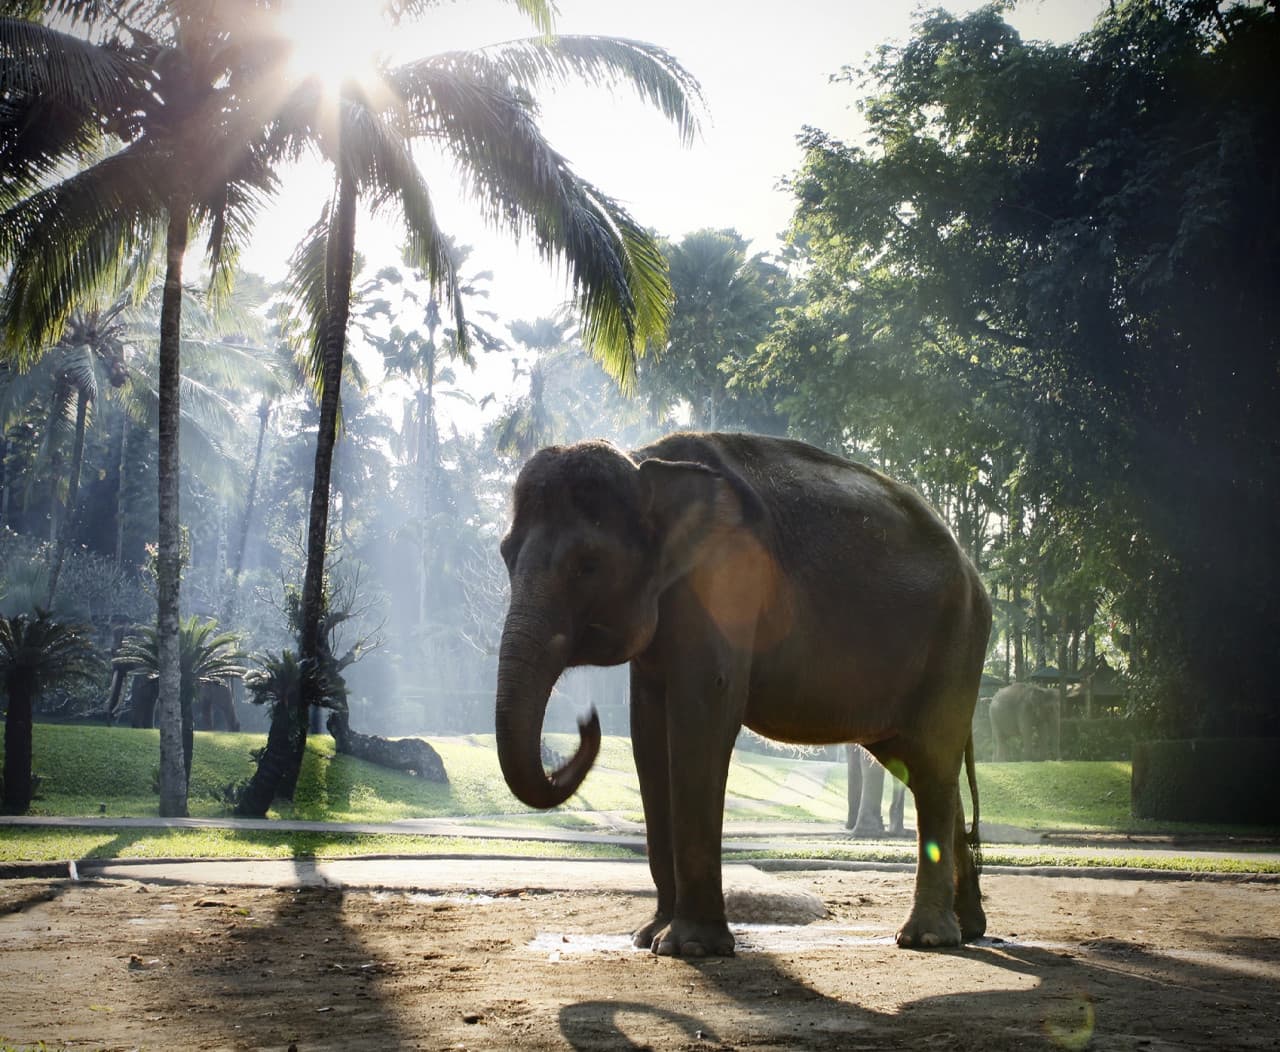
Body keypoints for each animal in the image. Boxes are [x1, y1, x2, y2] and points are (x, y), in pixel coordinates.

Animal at [494, 432, 991, 955]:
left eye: (587, 565)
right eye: (506, 555)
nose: (586, 721)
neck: (647, 462)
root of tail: (971, 569)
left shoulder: (725, 582)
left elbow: (703, 712)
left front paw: (689, 946)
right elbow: (647, 731)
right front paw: (648, 936)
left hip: (956, 644)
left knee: (931, 764)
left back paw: (926, 938)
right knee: (924, 767)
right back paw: (968, 928)